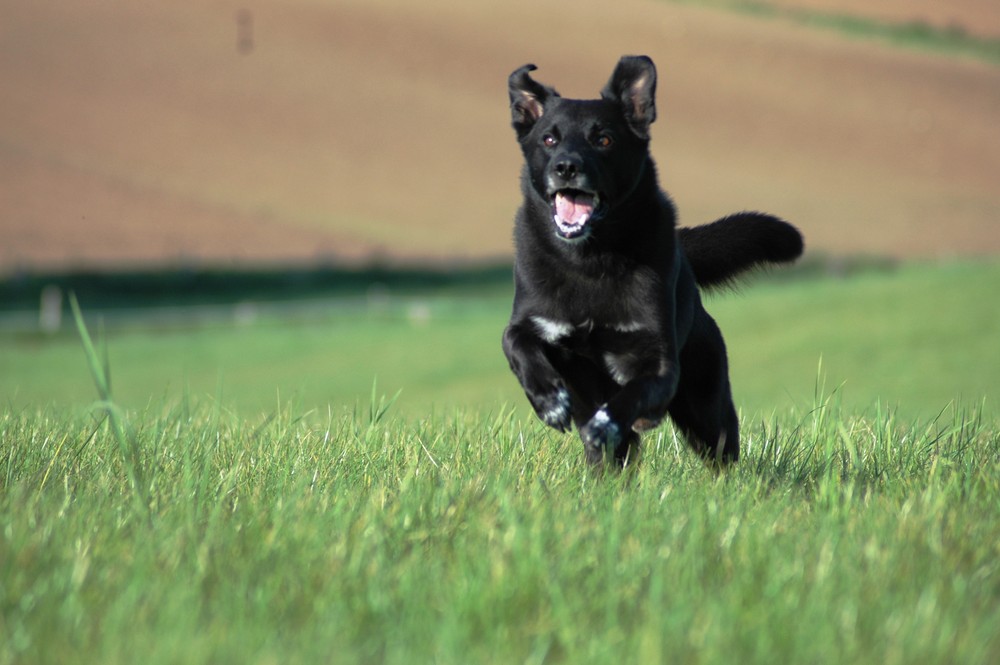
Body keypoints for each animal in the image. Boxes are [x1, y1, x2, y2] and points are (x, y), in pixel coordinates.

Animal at [504, 54, 800, 464]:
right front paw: (549, 400)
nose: (566, 167)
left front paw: (606, 422)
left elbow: (631, 394)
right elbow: (516, 342)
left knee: (721, 451)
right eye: (549, 139)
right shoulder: (534, 324)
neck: (590, 261)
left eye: (604, 139)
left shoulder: (659, 362)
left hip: (706, 410)